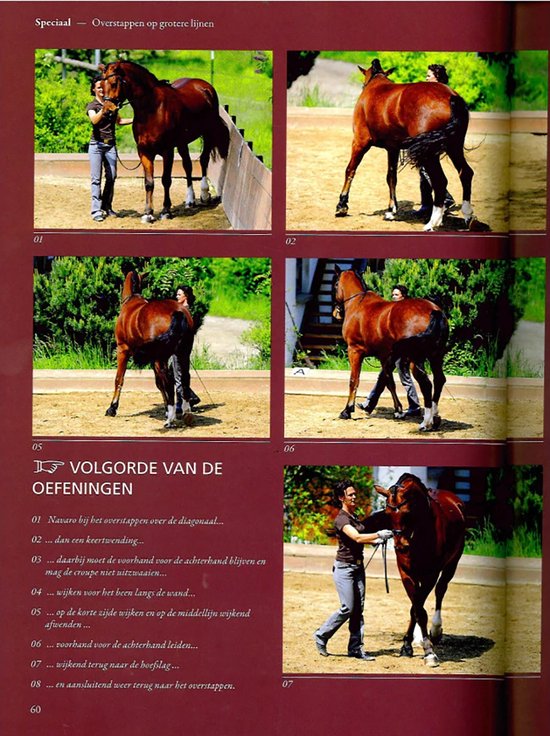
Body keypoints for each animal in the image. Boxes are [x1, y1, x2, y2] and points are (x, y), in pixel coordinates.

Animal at [100, 60, 230, 223]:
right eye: (101, 85)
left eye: (113, 83)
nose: (107, 112)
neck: (151, 109)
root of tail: (205, 87)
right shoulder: (145, 152)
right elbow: (149, 182)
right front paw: (148, 213)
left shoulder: (167, 151)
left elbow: (166, 180)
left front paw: (165, 211)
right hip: (182, 143)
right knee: (187, 165)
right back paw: (190, 200)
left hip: (208, 134)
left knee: (203, 160)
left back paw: (204, 194)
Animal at [105, 271, 195, 428]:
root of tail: (177, 312)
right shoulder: (153, 358)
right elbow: (159, 384)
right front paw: (166, 409)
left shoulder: (122, 350)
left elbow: (119, 379)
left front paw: (112, 408)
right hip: (182, 354)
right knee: (184, 379)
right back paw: (186, 413)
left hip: (161, 358)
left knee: (170, 381)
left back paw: (170, 420)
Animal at [332, 267, 448, 431]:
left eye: (336, 284)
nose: (336, 312)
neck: (358, 304)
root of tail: (434, 311)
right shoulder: (385, 355)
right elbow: (388, 381)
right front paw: (397, 410)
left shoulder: (354, 351)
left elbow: (354, 380)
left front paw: (347, 410)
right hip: (435, 356)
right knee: (439, 380)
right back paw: (435, 418)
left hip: (416, 359)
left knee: (426, 384)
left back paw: (426, 423)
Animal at [335, 58, 474, 231]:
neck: (376, 83)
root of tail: (451, 97)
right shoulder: (392, 148)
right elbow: (391, 177)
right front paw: (391, 210)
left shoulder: (360, 142)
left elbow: (350, 170)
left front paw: (342, 205)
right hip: (453, 146)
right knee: (465, 173)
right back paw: (467, 216)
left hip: (429, 153)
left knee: (440, 181)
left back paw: (432, 222)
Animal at [375, 473, 466, 666]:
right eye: (387, 514)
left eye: (408, 513)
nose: (401, 547)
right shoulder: (406, 573)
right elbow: (416, 609)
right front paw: (407, 645)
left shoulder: (431, 574)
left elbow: (420, 610)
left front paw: (429, 652)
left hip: (451, 565)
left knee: (441, 590)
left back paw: (436, 630)